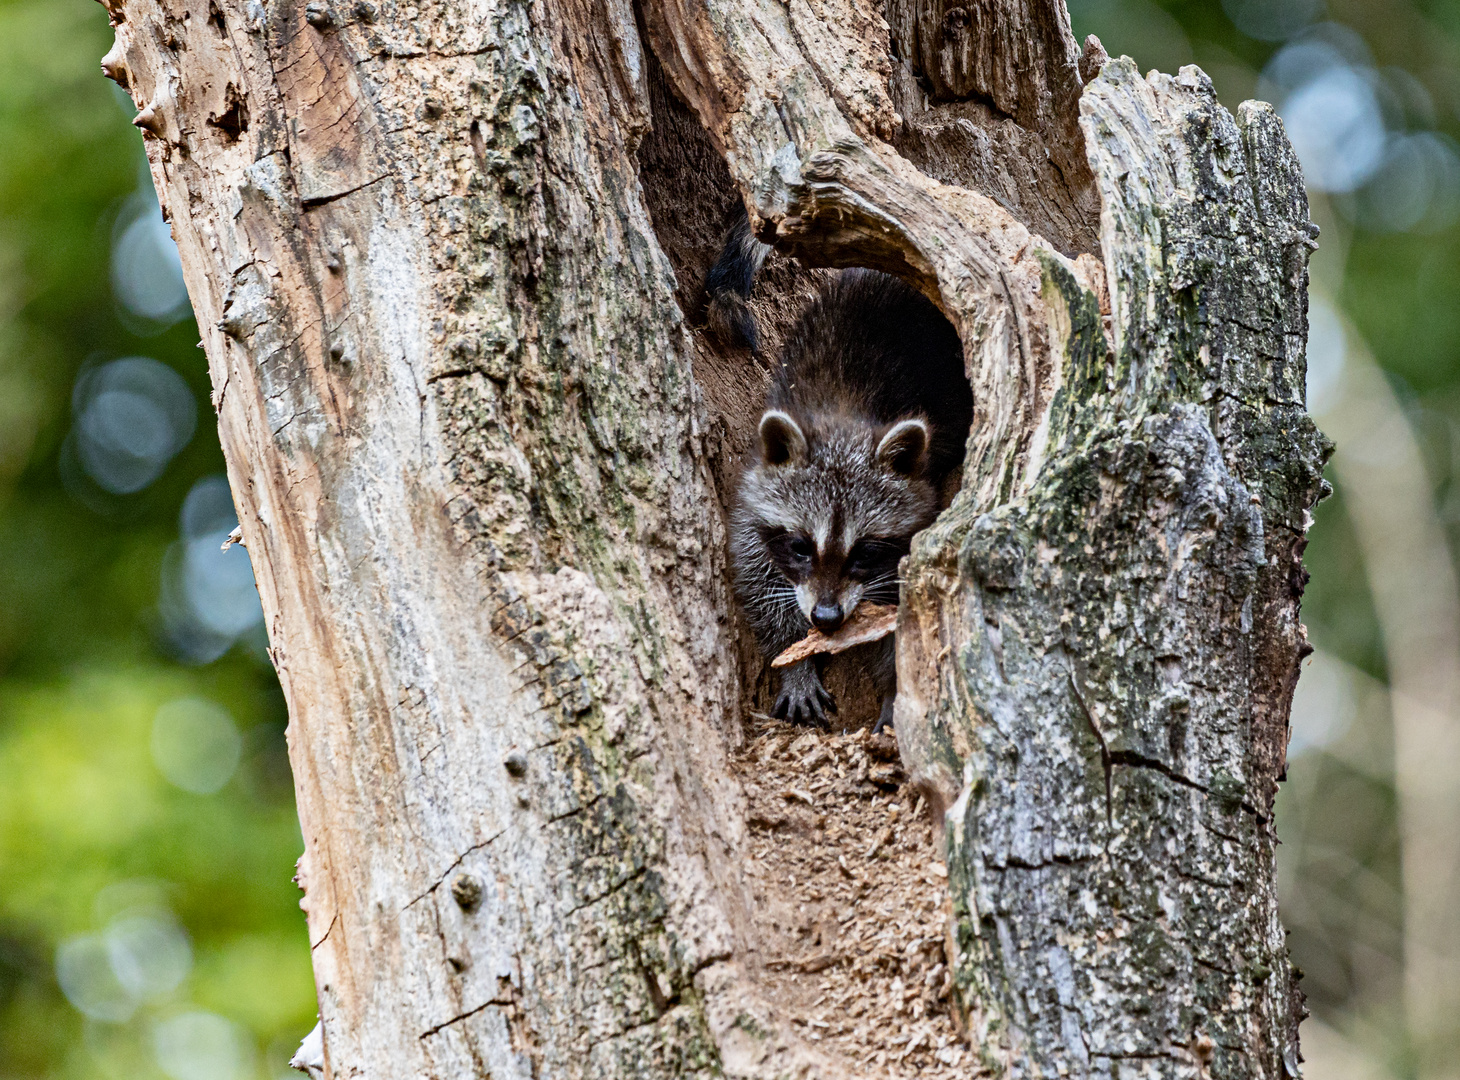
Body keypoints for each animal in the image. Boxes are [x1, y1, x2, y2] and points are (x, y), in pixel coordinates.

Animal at [715, 213, 975, 726]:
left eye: (865, 551)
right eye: (801, 546)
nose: (826, 619)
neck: (843, 419)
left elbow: (905, 614)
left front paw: (896, 685)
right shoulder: (754, 493)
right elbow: (756, 578)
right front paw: (793, 662)